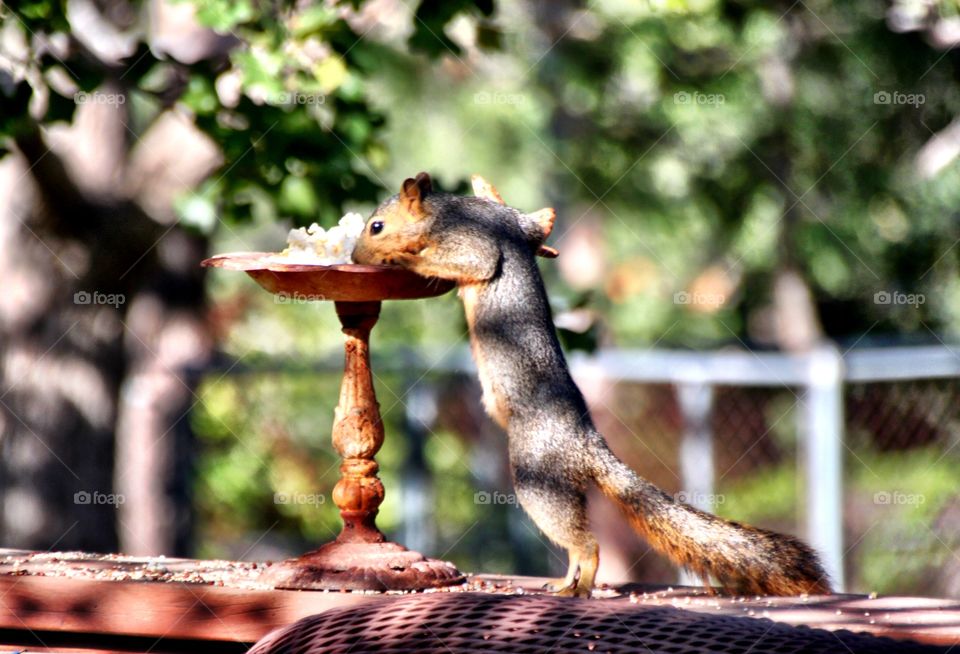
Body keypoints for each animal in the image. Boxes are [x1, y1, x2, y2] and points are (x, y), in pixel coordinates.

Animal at [352, 173, 832, 600]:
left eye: (377, 226)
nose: (355, 258)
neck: (447, 213)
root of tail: (586, 443)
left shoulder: (473, 241)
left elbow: (472, 262)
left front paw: (403, 258)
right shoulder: (514, 223)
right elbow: (531, 231)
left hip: (538, 477)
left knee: (587, 542)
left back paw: (580, 587)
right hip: (566, 489)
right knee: (575, 542)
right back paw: (566, 582)